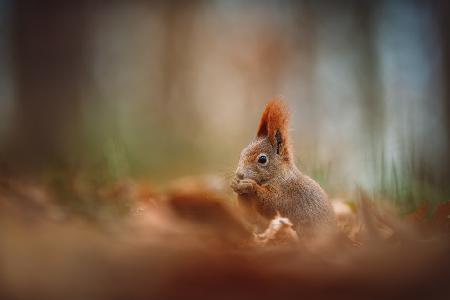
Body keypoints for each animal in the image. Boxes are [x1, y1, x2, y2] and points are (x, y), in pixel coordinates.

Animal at [232, 99, 334, 236]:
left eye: (262, 159)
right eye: (242, 153)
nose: (239, 174)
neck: (280, 175)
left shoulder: (288, 195)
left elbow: (272, 204)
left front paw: (250, 186)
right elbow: (250, 216)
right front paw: (236, 184)